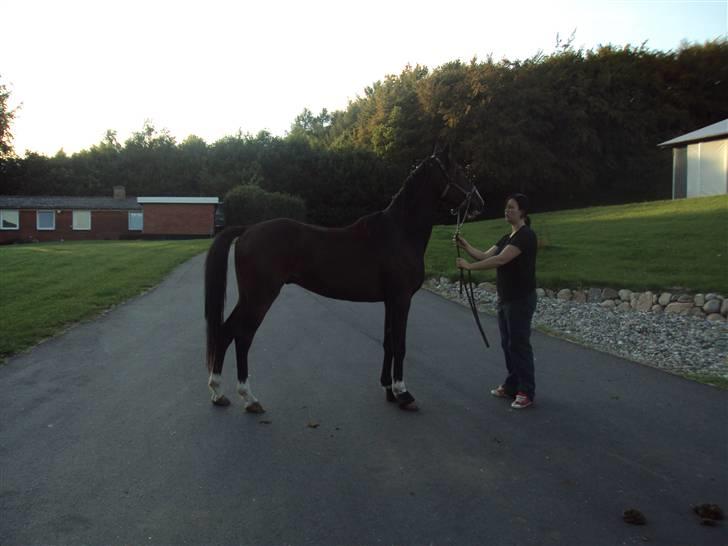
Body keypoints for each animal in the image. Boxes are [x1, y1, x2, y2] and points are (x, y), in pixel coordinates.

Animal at [203, 146, 484, 412]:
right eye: (459, 170)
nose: (478, 202)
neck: (399, 232)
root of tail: (247, 230)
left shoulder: (390, 301)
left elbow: (388, 343)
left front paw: (389, 390)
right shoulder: (402, 299)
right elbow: (400, 344)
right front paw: (404, 394)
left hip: (249, 298)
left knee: (226, 332)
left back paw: (219, 393)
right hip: (260, 298)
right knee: (242, 337)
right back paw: (249, 398)